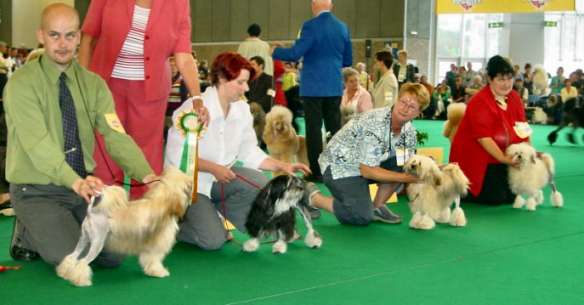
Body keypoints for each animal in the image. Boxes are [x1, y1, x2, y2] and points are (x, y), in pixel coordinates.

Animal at [55, 167, 192, 286]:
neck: (162, 203)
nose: (192, 183)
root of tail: (92, 211)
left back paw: (64, 273)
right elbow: (154, 260)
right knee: (82, 261)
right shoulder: (155, 246)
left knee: (72, 256)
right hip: (97, 243)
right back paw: (81, 281)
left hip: (84, 239)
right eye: (187, 186)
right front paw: (158, 272)